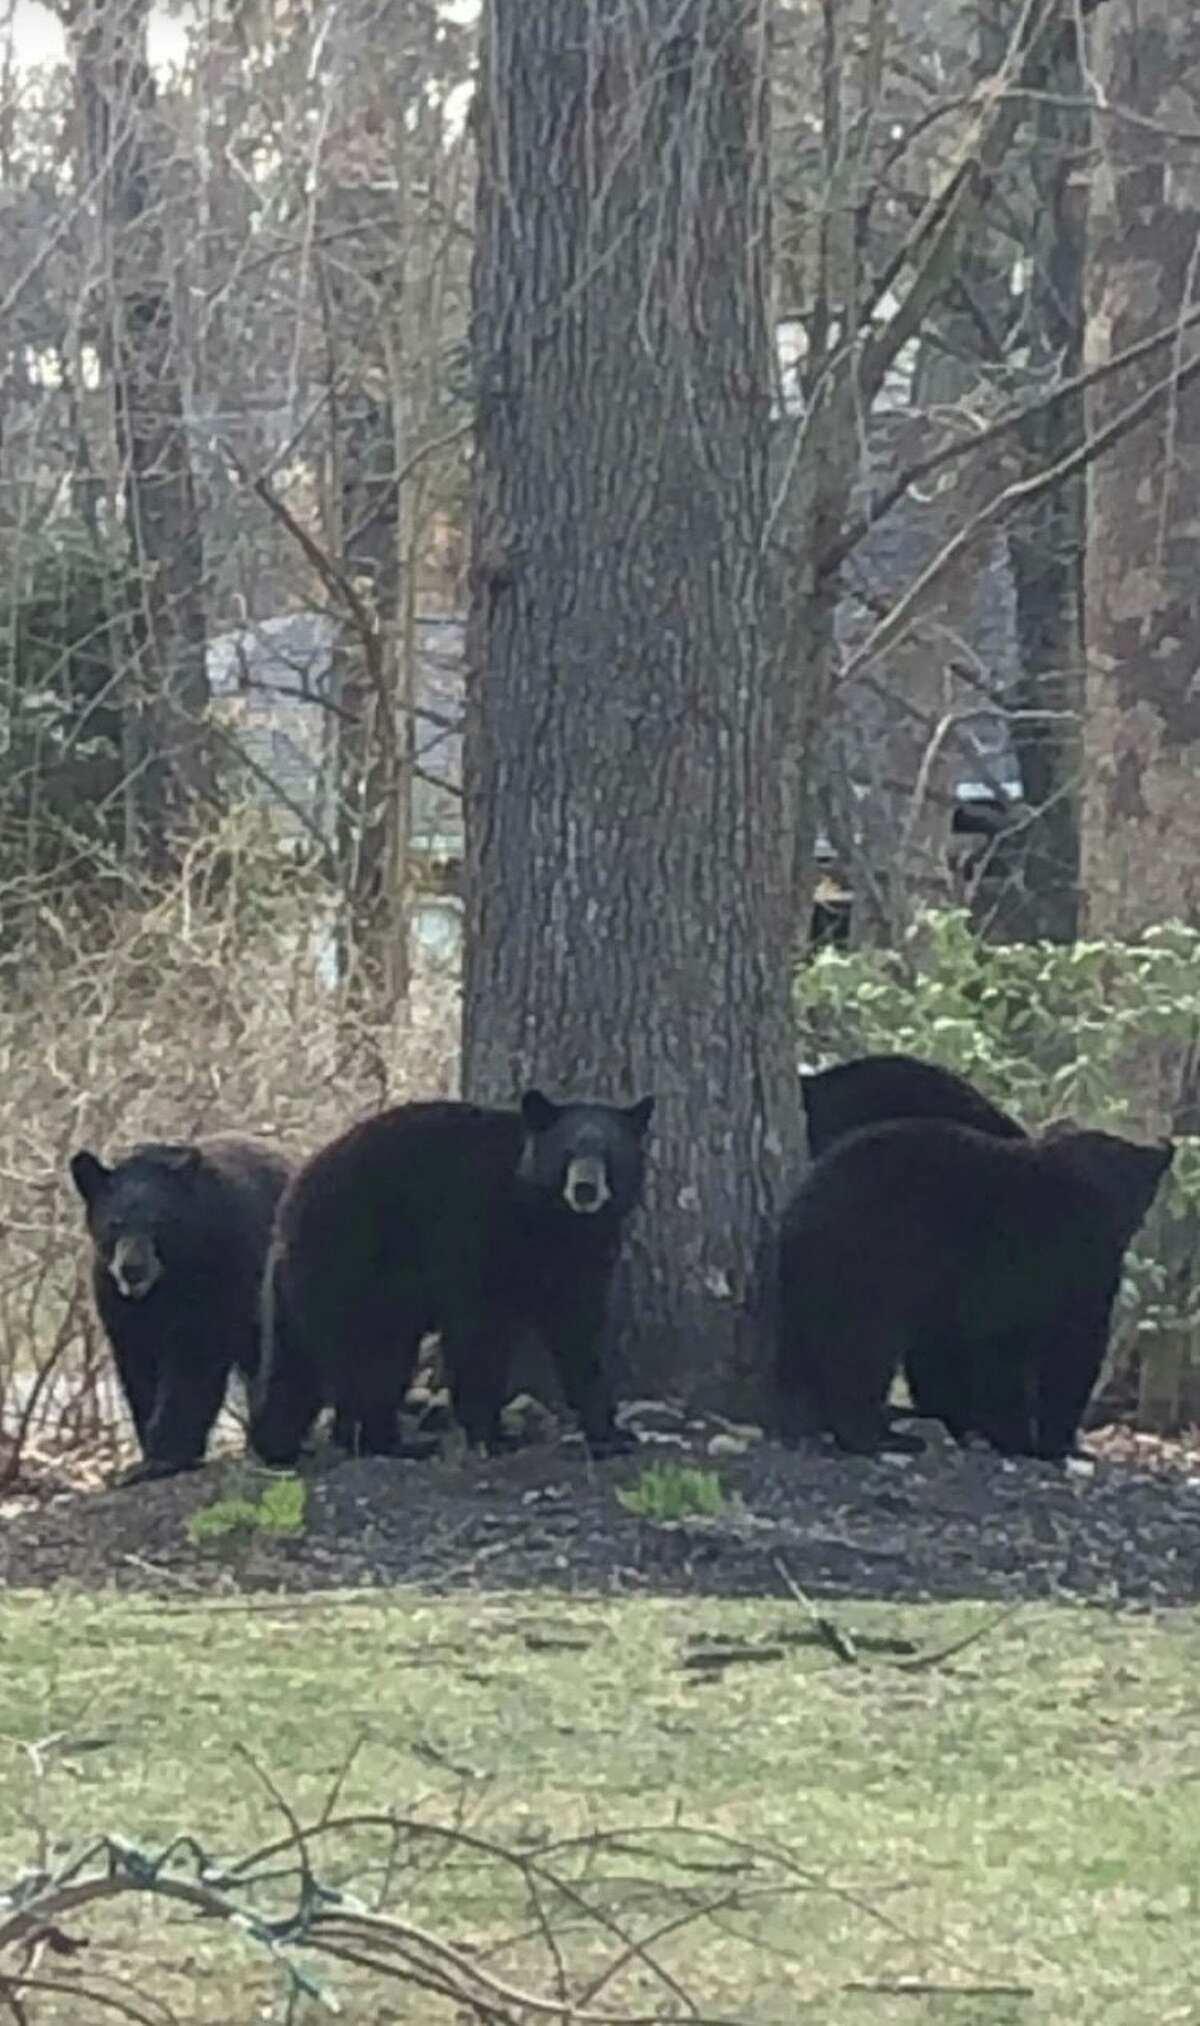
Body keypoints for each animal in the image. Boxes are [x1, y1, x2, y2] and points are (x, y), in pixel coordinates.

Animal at [70, 1134, 295, 1486]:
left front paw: (164, 1457)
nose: (132, 1269)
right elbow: (138, 1373)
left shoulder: (218, 1278)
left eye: (158, 1221)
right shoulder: (117, 1305)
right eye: (114, 1223)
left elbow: (192, 1365)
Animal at [249, 1088, 655, 1468]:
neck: (548, 1219)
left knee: (298, 1366)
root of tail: (288, 1210)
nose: (585, 1188)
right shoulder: (476, 1232)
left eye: (609, 1153)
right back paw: (385, 1443)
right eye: (567, 1151)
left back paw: (291, 1443)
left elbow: (578, 1332)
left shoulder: (581, 1259)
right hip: (353, 1268)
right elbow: (479, 1335)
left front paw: (611, 1432)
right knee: (373, 1362)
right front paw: (492, 1436)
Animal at [776, 1117, 1173, 1462]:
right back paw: (881, 1437)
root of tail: (800, 1209)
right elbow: (1061, 1355)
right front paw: (1040, 1442)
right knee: (860, 1350)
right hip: (870, 1267)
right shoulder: (1046, 1275)